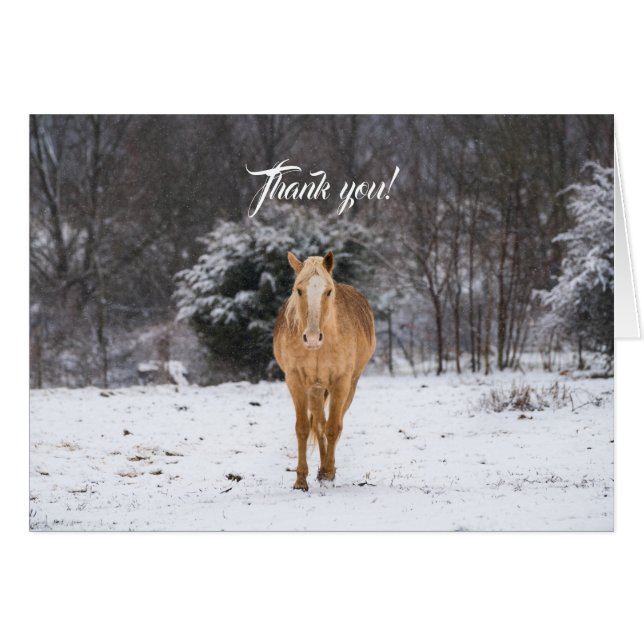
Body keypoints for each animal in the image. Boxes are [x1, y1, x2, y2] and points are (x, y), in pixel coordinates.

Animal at [273, 251, 376, 491]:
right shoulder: (296, 381)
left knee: (334, 424)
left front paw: (329, 472)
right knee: (319, 423)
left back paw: (327, 469)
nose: (312, 338)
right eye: (298, 290)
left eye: (328, 291)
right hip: (316, 388)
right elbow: (303, 428)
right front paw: (301, 480)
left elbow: (333, 428)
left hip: (349, 385)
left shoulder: (341, 382)